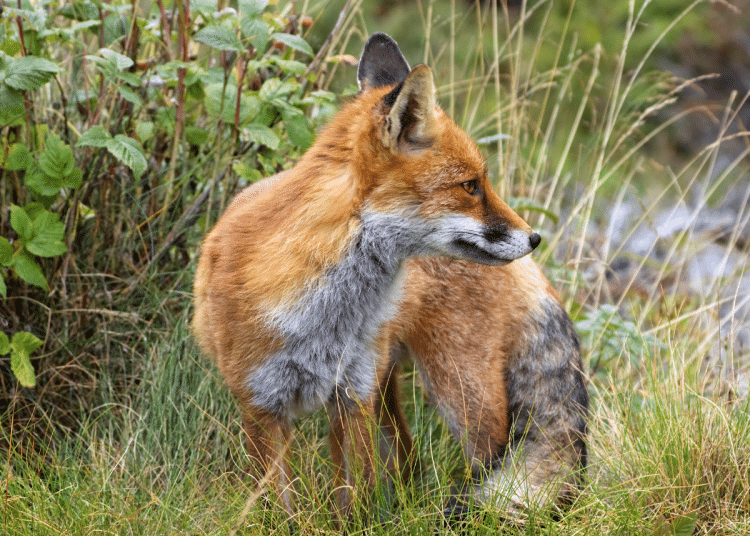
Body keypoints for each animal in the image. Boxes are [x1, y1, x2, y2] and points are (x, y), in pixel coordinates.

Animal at [192, 32, 587, 520]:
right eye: (470, 186)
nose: (534, 237)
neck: (323, 316)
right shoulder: (262, 406)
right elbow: (280, 510)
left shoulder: (351, 398)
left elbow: (353, 504)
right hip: (393, 390)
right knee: (409, 456)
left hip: (458, 393)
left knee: (475, 460)